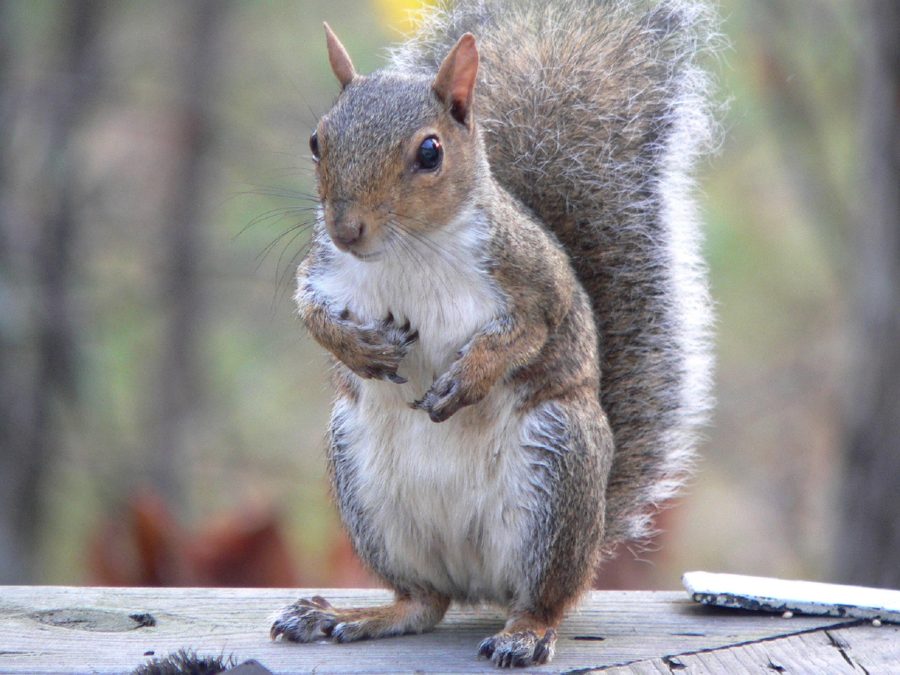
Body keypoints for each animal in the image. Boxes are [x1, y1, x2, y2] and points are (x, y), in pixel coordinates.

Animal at [268, 0, 716, 664]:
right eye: (317, 141)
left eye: (430, 153)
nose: (347, 228)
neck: (410, 253)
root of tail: (475, 580)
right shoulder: (325, 269)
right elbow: (311, 312)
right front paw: (359, 348)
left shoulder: (535, 278)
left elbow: (531, 332)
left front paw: (467, 379)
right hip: (364, 485)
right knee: (421, 602)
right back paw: (350, 615)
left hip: (558, 471)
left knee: (545, 598)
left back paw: (524, 634)